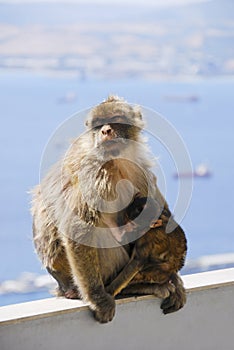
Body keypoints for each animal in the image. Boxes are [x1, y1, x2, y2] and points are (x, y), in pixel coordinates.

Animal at [31, 95, 186, 322]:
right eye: (98, 124)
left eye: (115, 120)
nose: (105, 130)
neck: (116, 161)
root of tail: (63, 286)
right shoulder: (93, 172)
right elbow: (80, 228)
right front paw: (97, 298)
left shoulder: (138, 167)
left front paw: (175, 278)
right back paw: (133, 287)